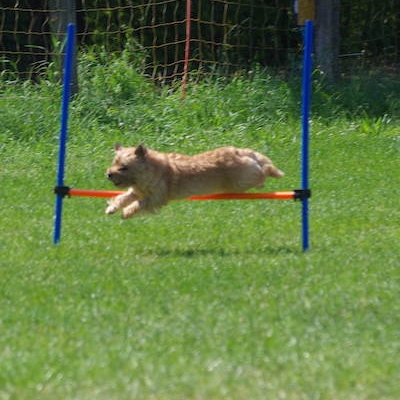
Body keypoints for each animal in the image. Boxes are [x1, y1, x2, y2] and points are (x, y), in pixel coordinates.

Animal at [104, 144, 282, 219]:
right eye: (114, 162)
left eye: (124, 167)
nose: (109, 174)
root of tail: (242, 152)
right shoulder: (136, 192)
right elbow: (122, 198)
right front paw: (112, 208)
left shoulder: (156, 198)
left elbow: (139, 204)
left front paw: (126, 213)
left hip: (242, 180)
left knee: (263, 171)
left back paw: (272, 172)